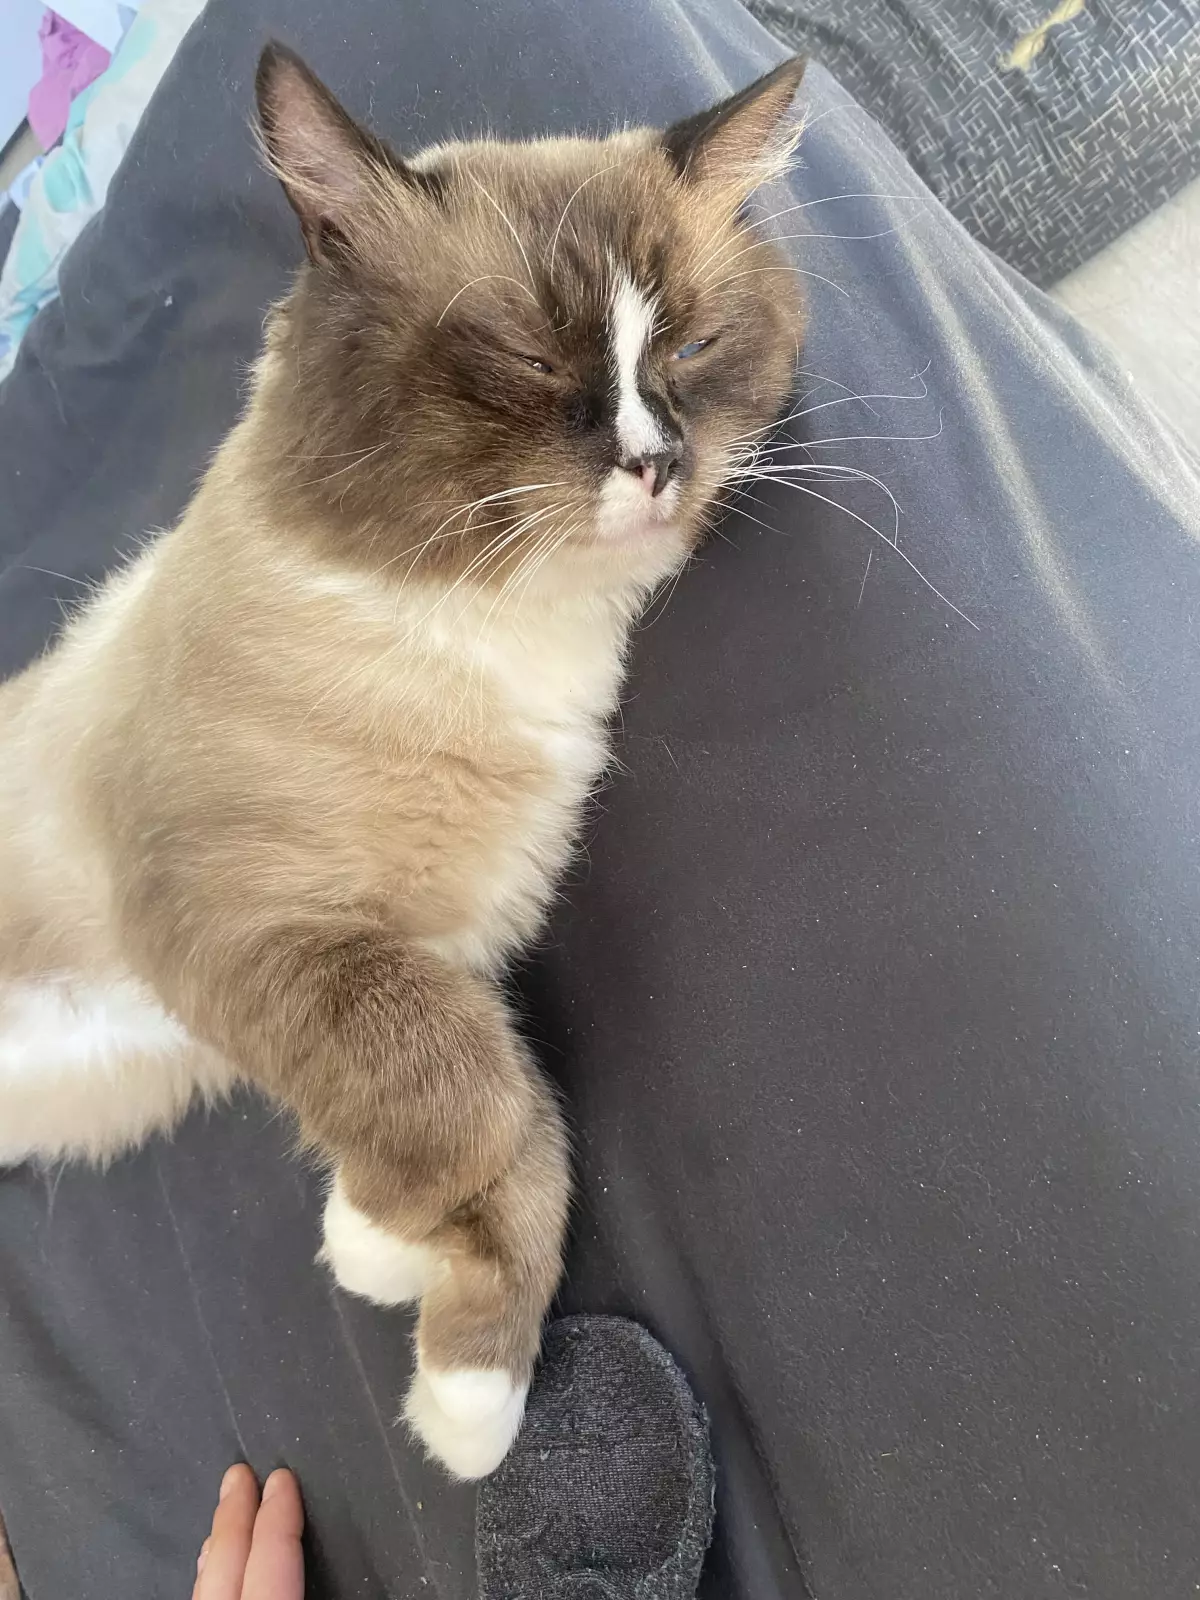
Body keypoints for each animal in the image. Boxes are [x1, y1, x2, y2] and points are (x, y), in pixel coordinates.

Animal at [0, 43, 805, 1478]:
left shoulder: (450, 957)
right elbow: (469, 1103)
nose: (656, 462)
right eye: (528, 355)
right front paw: (393, 1255)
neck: (498, 629)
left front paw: (446, 1360)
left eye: (693, 347)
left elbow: (512, 1125)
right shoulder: (266, 935)